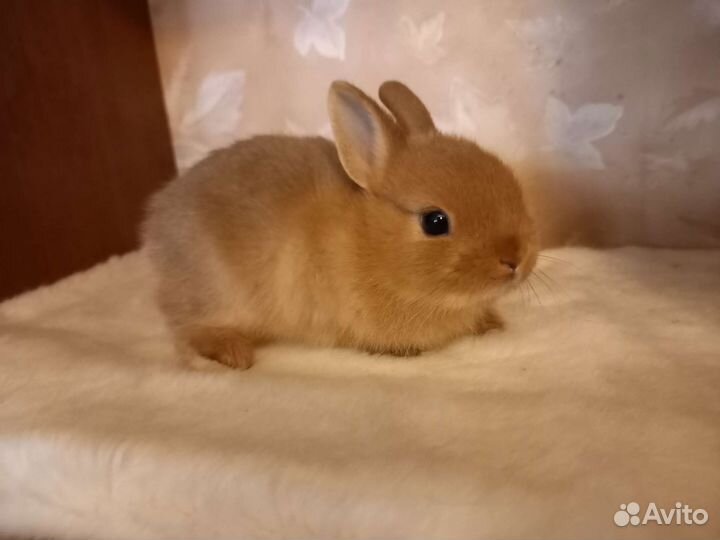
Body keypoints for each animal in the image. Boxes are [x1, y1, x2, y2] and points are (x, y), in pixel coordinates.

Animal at [142, 80, 538, 369]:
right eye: (435, 221)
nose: (515, 260)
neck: (370, 238)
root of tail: (156, 223)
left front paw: (493, 324)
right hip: (215, 293)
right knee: (188, 330)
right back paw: (235, 354)